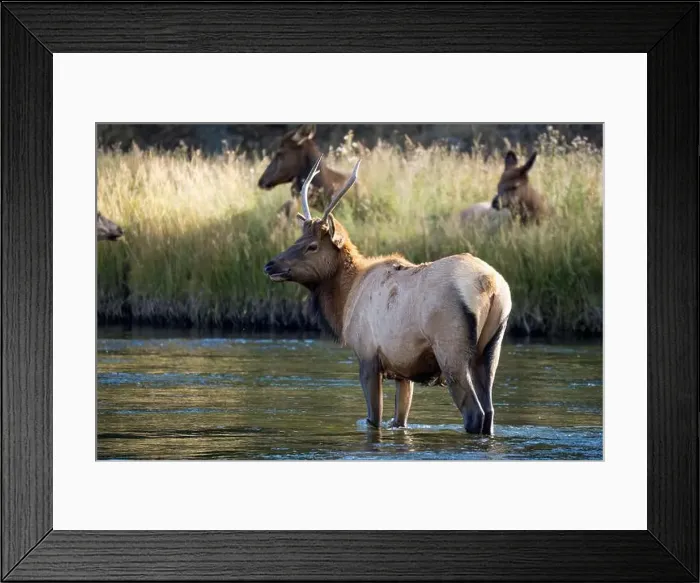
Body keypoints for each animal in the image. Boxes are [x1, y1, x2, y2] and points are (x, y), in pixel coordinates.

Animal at [264, 156, 512, 435]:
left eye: (312, 246)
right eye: (297, 239)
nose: (270, 265)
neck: (346, 300)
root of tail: (490, 284)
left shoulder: (368, 355)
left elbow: (374, 418)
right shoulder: (403, 371)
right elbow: (399, 419)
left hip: (451, 348)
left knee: (474, 412)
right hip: (491, 348)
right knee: (490, 411)